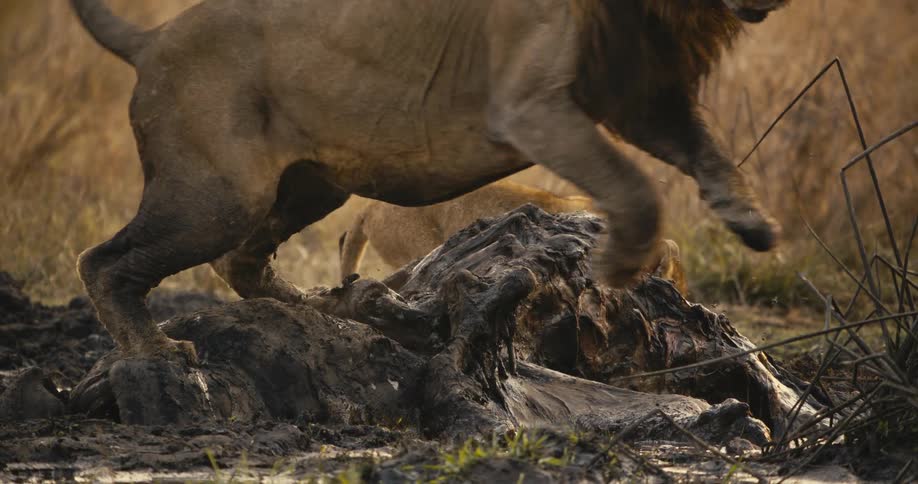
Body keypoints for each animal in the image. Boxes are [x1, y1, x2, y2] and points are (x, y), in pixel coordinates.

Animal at [71, 0, 785, 362]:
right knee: (104, 262)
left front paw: (751, 219)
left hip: (313, 183)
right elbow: (635, 186)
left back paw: (335, 305)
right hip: (220, 193)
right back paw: (155, 350)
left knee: (242, 262)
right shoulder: (530, 105)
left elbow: (704, 149)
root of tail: (150, 36)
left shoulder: (638, 89)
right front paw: (618, 266)